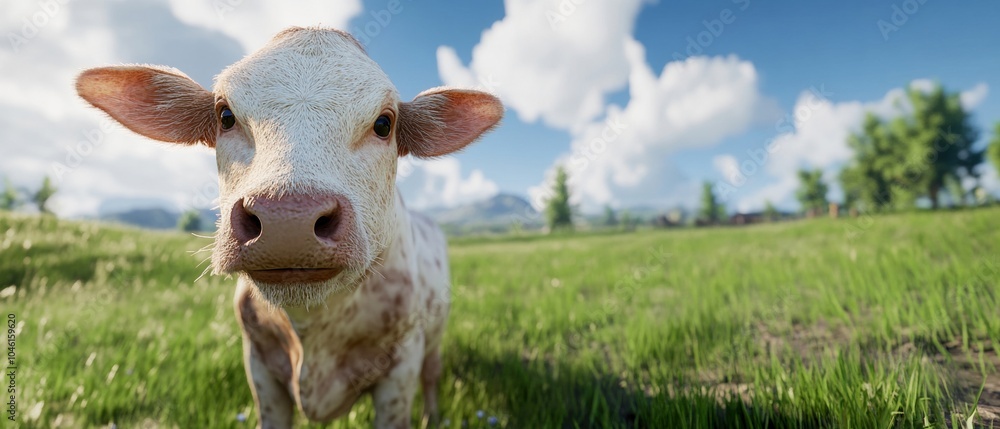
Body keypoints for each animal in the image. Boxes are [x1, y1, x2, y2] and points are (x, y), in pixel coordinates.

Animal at [75, 27, 503, 428]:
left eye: (384, 123)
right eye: (225, 115)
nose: (288, 219)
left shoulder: (402, 363)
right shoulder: (259, 365)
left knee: (432, 376)